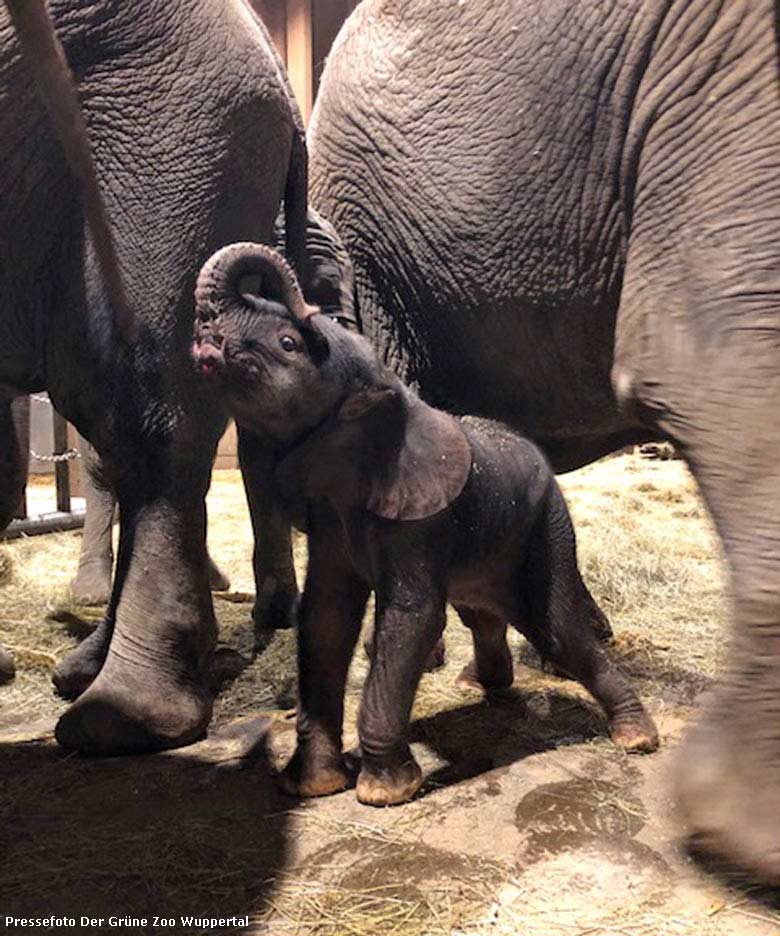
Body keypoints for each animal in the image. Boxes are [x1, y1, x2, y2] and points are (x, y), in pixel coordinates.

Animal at [192, 241, 656, 804]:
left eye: (289, 344)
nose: (209, 345)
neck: (381, 393)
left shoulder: (421, 522)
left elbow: (411, 619)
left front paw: (384, 792)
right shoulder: (333, 515)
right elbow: (326, 618)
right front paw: (314, 785)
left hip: (546, 528)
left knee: (558, 630)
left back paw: (636, 739)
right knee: (484, 615)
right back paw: (481, 685)